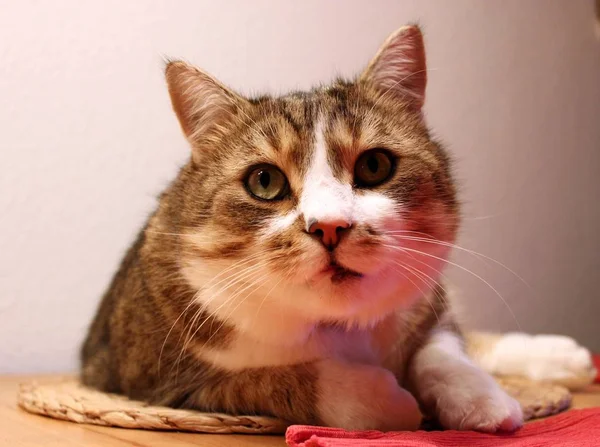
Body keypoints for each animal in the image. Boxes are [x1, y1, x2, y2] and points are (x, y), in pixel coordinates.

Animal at [79, 25, 596, 434]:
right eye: (264, 181)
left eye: (374, 165)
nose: (330, 226)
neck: (337, 323)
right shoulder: (156, 382)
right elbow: (267, 378)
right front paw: (386, 400)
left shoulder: (425, 308)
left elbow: (443, 351)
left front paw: (481, 399)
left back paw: (563, 356)